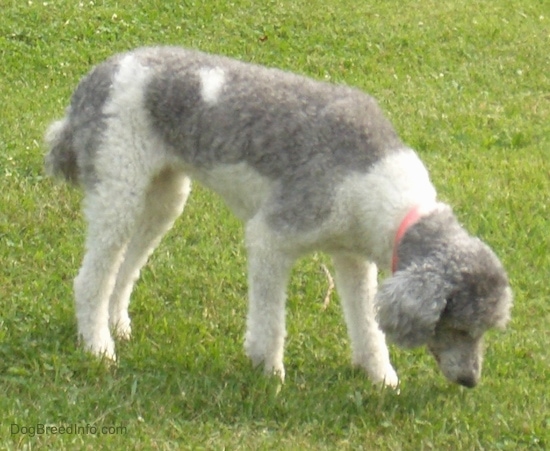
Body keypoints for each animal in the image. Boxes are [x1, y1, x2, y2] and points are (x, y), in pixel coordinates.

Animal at [45, 46, 516, 388]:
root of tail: (92, 80)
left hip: (162, 197)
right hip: (118, 189)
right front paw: (269, 373)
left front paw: (381, 377)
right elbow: (271, 322)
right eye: (458, 327)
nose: (470, 381)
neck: (382, 186)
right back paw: (98, 347)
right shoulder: (272, 237)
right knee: (91, 278)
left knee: (125, 267)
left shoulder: (352, 256)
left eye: (485, 330)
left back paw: (117, 323)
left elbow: (366, 323)